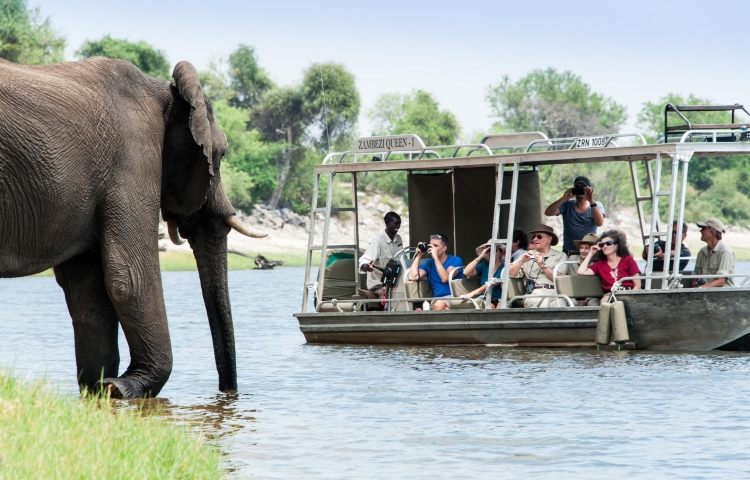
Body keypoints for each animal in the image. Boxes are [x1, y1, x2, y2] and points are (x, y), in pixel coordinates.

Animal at [0, 58, 268, 400]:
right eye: (219, 156)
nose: (228, 396)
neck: (164, 92)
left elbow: (86, 289)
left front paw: (100, 390)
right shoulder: (132, 160)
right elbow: (130, 276)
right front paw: (124, 387)